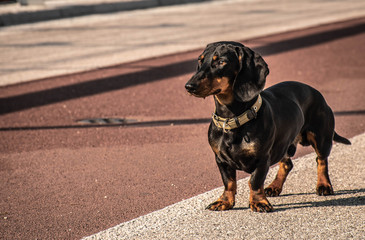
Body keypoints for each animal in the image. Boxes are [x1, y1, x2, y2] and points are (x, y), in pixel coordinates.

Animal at [185, 40, 350, 212]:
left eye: (221, 62)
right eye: (200, 60)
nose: (189, 86)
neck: (232, 118)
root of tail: (316, 92)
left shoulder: (262, 158)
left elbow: (255, 181)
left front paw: (259, 202)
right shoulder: (221, 160)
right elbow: (228, 182)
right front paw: (224, 201)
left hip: (321, 138)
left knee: (321, 161)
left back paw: (324, 185)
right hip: (285, 143)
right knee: (287, 164)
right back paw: (274, 187)